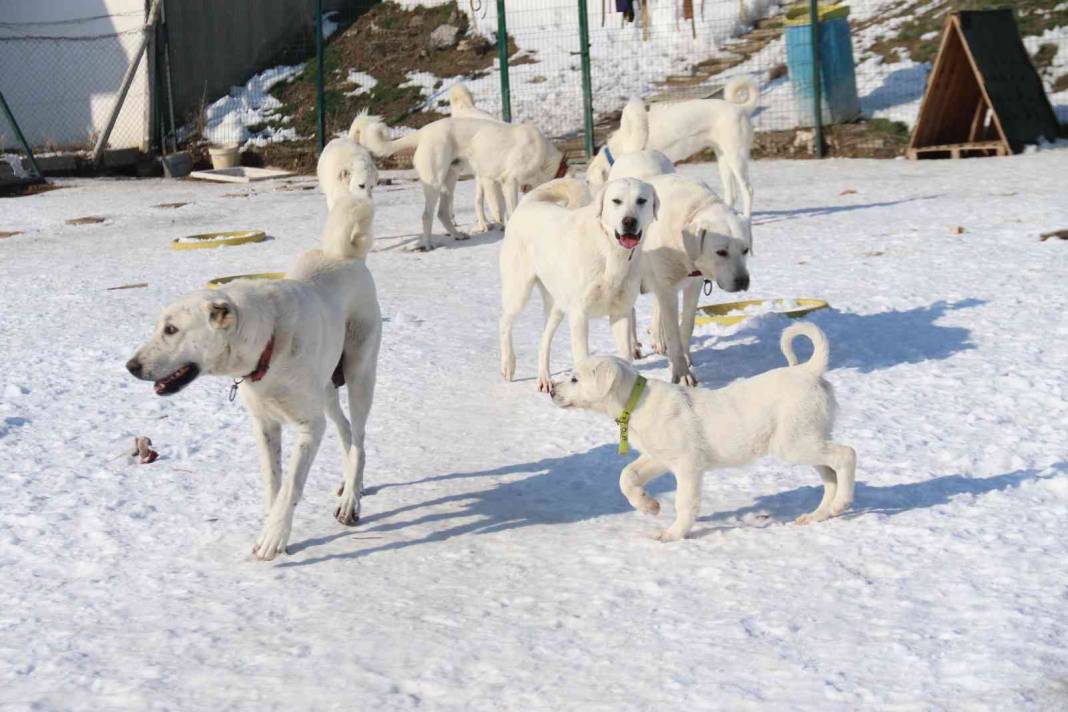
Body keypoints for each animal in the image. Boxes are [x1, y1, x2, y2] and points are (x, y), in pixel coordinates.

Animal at [123, 197, 382, 559]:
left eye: (171, 329)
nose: (130, 366)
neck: (267, 345)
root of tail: (344, 256)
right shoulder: (265, 425)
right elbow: (273, 482)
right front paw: (272, 524)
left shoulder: (309, 427)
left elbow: (290, 487)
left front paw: (274, 538)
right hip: (327, 389)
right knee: (346, 432)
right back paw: (350, 486)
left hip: (360, 375)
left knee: (358, 438)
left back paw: (350, 502)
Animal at [499, 176, 657, 392]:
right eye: (616, 201)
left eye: (641, 200)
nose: (629, 221)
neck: (610, 250)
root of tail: (528, 203)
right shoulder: (579, 315)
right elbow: (583, 357)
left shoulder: (621, 313)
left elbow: (625, 355)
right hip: (519, 293)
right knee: (505, 323)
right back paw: (508, 364)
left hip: (557, 306)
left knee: (543, 340)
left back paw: (544, 378)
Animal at [555, 326, 854, 542]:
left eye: (574, 379)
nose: (551, 391)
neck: (636, 401)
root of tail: (809, 371)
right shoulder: (658, 458)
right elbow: (627, 476)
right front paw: (648, 506)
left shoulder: (688, 466)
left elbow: (684, 502)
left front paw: (674, 533)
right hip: (807, 439)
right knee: (830, 475)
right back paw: (819, 514)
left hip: (795, 444)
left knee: (846, 455)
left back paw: (841, 503)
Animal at [585, 76, 760, 217]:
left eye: (587, 182)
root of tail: (740, 108)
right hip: (723, 159)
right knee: (731, 194)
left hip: (736, 157)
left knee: (748, 190)